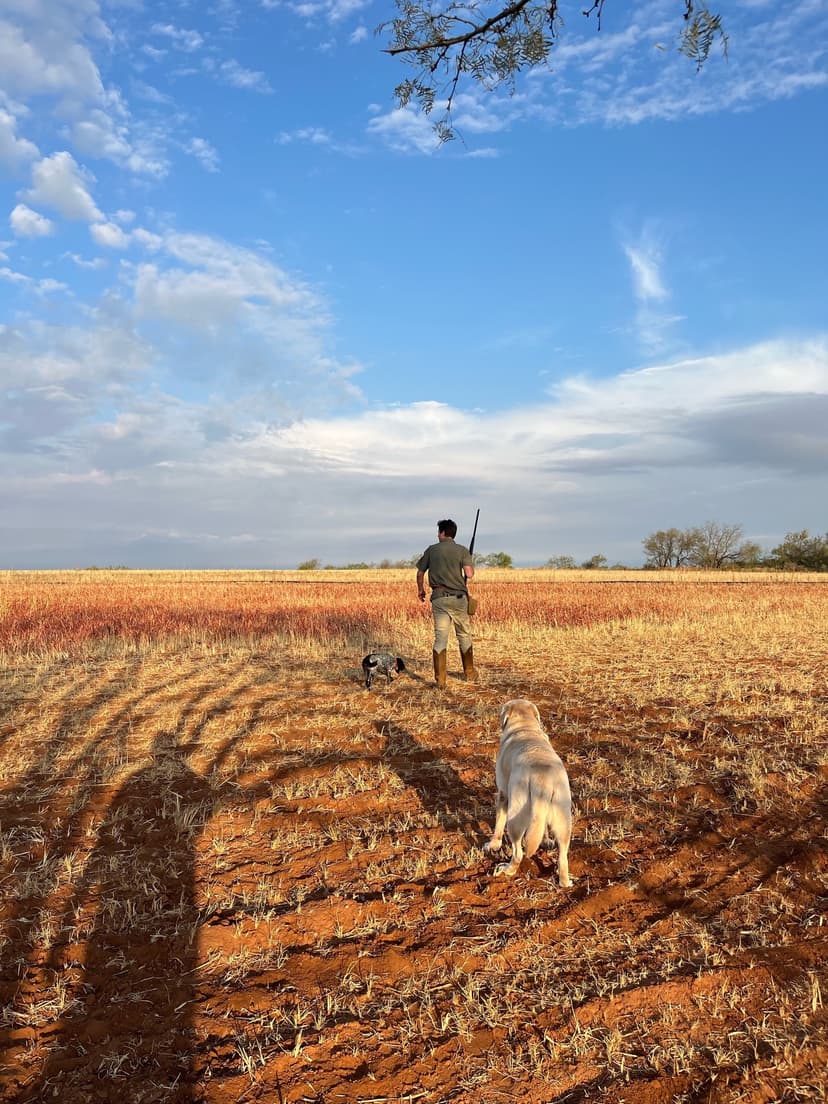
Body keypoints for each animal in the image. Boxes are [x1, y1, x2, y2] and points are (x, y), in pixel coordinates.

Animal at [483, 697, 574, 887]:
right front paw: (545, 841)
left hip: (515, 820)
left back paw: (506, 870)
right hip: (563, 821)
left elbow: (498, 824)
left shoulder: (503, 795)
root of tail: (542, 779)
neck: (525, 726)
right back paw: (565, 882)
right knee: (563, 857)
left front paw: (493, 845)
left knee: (518, 853)